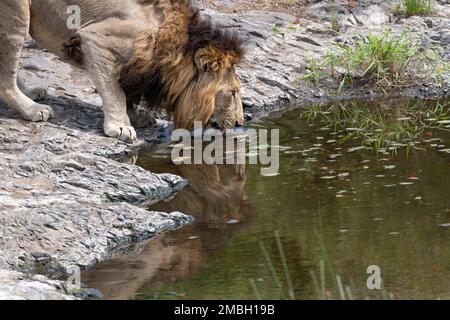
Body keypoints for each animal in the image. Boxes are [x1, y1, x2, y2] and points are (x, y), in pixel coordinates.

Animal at [0, 0, 244, 142]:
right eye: (233, 93)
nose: (240, 124)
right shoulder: (96, 40)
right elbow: (115, 93)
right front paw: (120, 126)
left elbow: (125, 93)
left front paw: (137, 116)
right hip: (17, 11)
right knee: (5, 79)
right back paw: (32, 109)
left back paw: (31, 92)